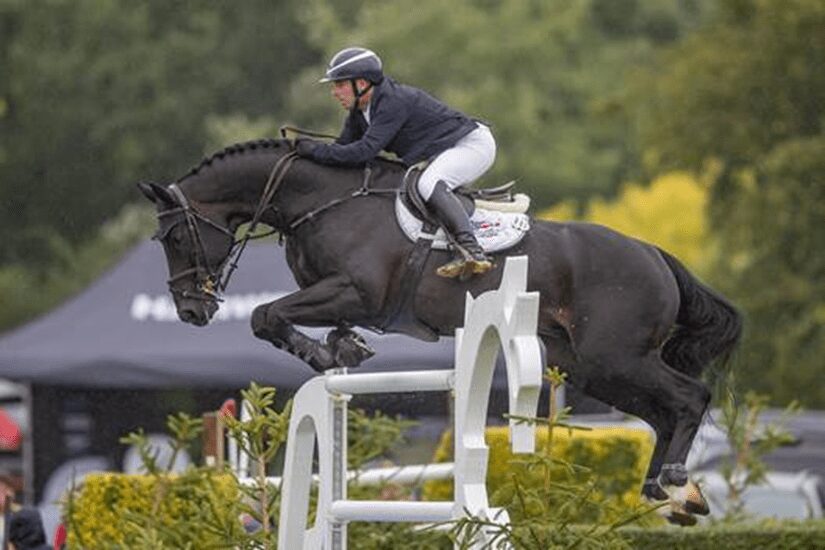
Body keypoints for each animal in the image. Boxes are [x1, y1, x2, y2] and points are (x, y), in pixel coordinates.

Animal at [135, 138, 740, 528]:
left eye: (176, 238)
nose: (190, 311)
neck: (317, 200)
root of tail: (655, 255)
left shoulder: (355, 291)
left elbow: (265, 315)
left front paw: (322, 352)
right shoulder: (338, 298)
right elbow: (289, 321)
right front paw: (340, 348)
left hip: (615, 357)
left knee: (690, 398)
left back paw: (675, 483)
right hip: (594, 367)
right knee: (664, 414)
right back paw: (673, 495)